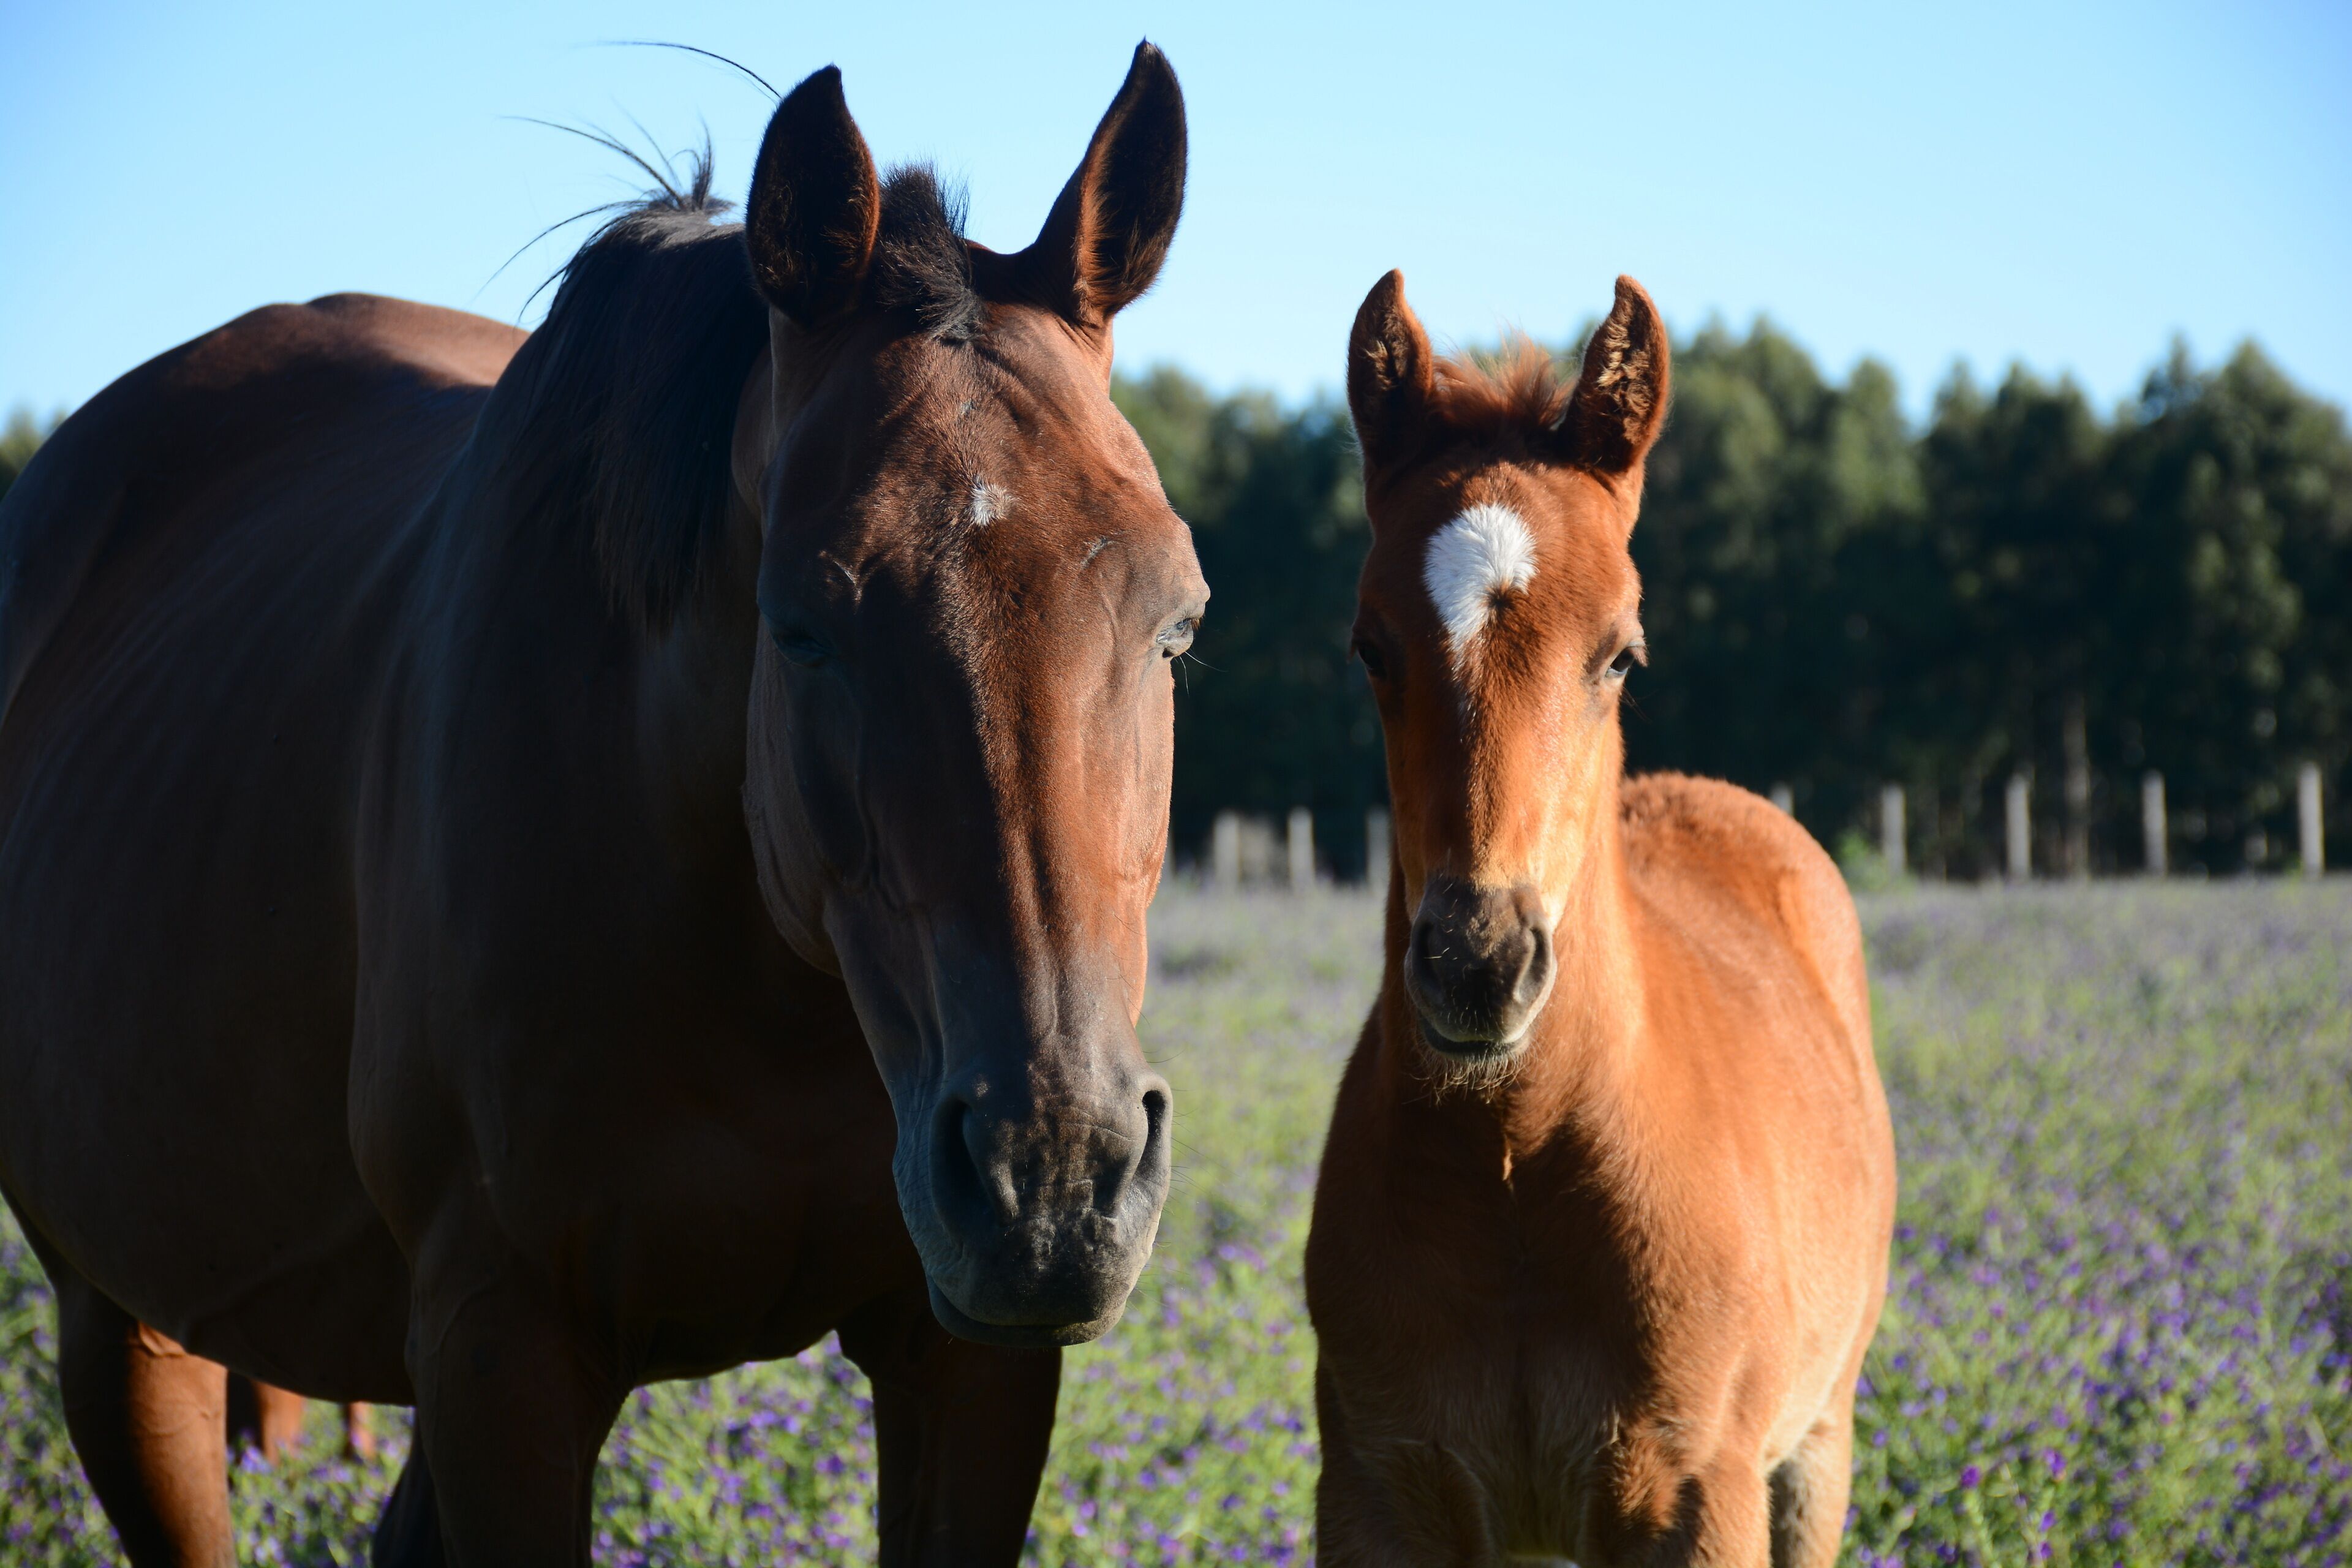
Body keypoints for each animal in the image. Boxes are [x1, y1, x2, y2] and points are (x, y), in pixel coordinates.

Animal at [0, 44, 1200, 1566]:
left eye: (1176, 622)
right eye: (803, 625)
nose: (1051, 1174)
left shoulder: (970, 1354)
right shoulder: (501, 1349)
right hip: (122, 1318)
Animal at [1303, 272, 1897, 1567]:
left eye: (1620, 654)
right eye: (1370, 647)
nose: (1479, 962)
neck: (1518, 1158)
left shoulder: (1698, 1494)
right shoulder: (1376, 1489)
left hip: (1820, 1442)